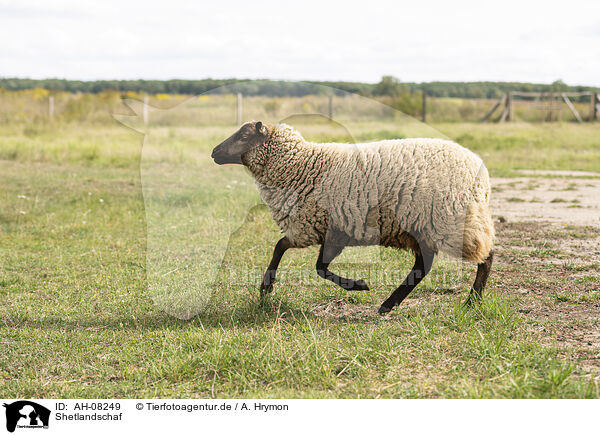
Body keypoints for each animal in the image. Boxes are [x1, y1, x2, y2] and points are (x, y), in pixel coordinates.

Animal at [213, 121, 494, 316]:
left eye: (244, 136)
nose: (214, 152)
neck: (301, 166)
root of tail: (481, 171)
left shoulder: (321, 228)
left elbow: (309, 262)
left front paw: (358, 285)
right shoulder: (321, 228)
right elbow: (291, 252)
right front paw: (265, 289)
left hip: (452, 220)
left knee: (485, 256)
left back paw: (473, 300)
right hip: (424, 227)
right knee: (423, 266)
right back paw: (389, 304)